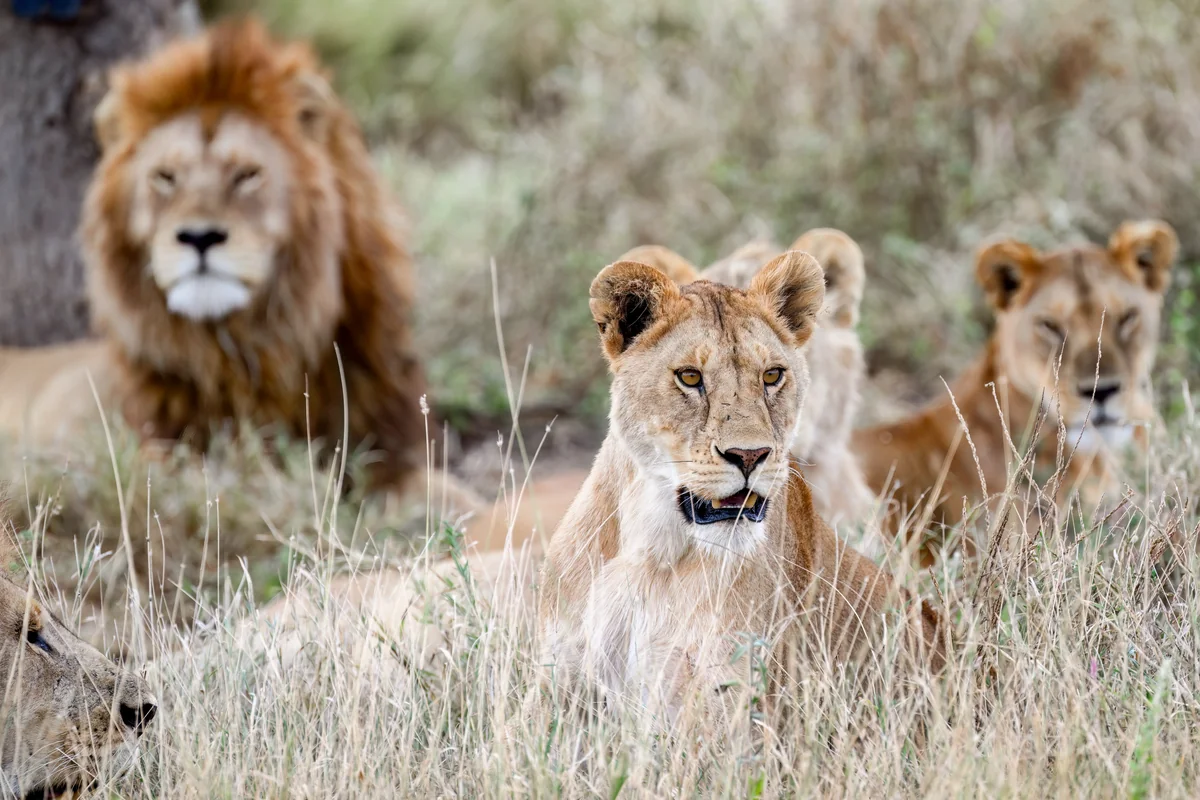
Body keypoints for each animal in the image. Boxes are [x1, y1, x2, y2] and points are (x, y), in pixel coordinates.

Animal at [538, 253, 944, 718]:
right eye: (690, 377)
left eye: (771, 375)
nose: (750, 456)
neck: (653, 546)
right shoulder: (560, 679)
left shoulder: (730, 698)